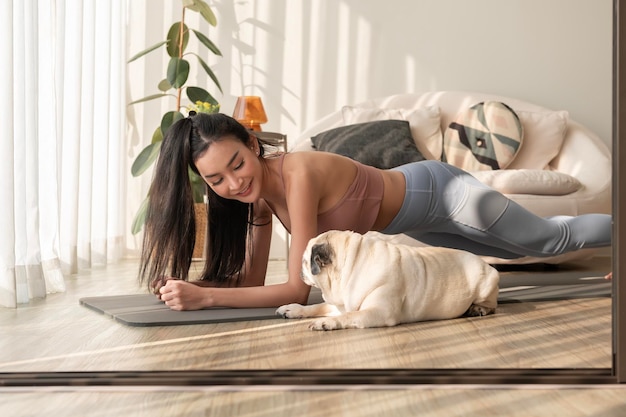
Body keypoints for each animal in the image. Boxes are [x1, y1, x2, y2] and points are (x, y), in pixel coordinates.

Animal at [276, 229, 500, 330]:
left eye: (305, 261)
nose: (299, 270)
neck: (353, 265)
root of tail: (484, 262)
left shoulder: (378, 312)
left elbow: (348, 316)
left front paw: (327, 323)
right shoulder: (340, 304)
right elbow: (317, 307)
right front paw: (293, 309)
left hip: (485, 285)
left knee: (492, 305)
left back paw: (478, 309)